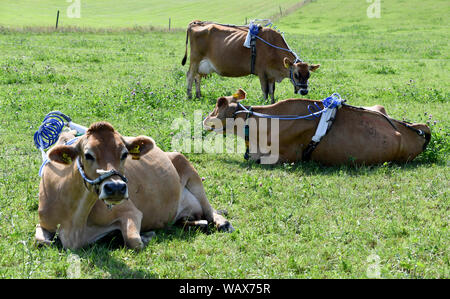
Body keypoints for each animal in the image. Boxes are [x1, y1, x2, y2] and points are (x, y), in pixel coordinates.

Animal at [36, 122, 234, 251]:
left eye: (124, 154)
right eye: (88, 154)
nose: (116, 187)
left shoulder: (131, 211)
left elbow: (134, 241)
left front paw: (146, 236)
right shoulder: (43, 222)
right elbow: (41, 242)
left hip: (187, 167)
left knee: (209, 209)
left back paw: (222, 222)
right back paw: (197, 223)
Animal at [180, 20, 320, 103]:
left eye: (308, 75)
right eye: (296, 75)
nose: (304, 91)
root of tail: (197, 22)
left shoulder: (271, 75)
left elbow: (272, 90)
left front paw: (273, 102)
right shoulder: (262, 73)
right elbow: (265, 90)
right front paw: (265, 104)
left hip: (202, 65)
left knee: (197, 77)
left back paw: (198, 96)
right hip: (195, 59)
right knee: (190, 75)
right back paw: (189, 97)